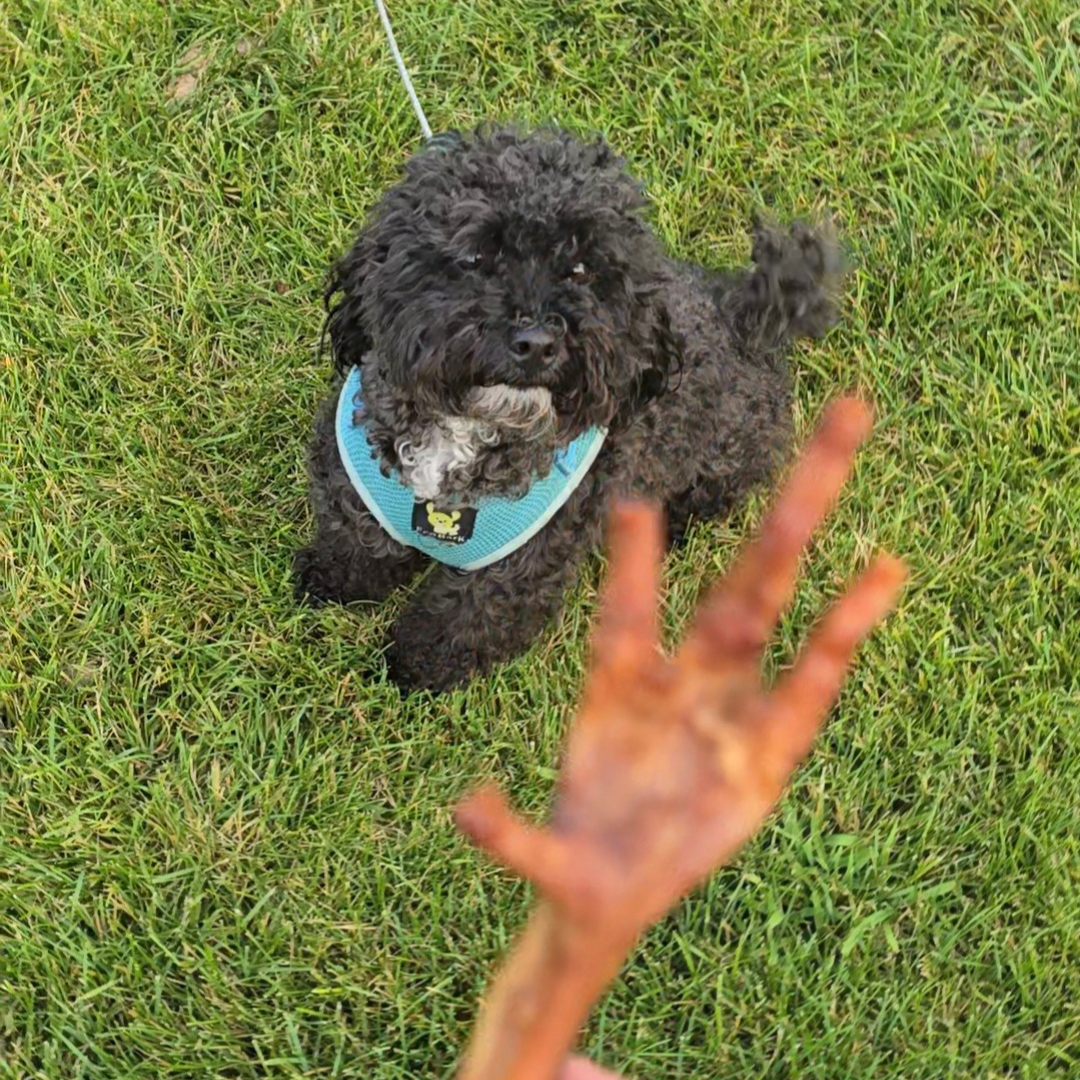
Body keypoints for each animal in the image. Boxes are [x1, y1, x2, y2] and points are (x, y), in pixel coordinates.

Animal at [298, 126, 842, 695]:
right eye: (475, 256)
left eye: (581, 269)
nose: (537, 342)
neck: (468, 430)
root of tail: (743, 315)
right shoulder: (352, 477)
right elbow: (357, 537)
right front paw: (332, 581)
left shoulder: (528, 563)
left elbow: (469, 616)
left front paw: (416, 665)